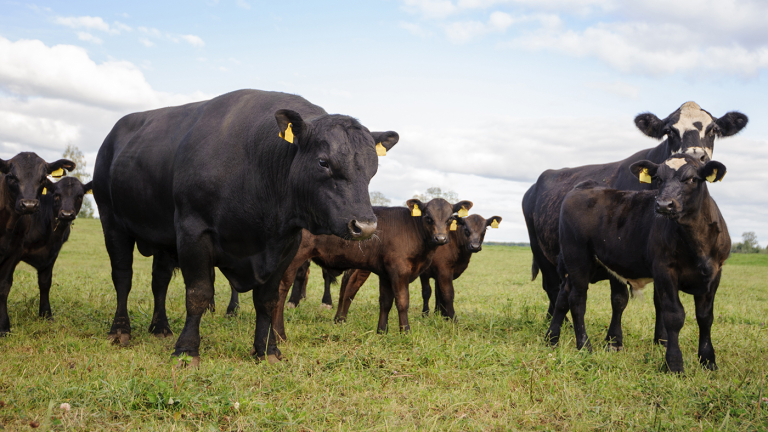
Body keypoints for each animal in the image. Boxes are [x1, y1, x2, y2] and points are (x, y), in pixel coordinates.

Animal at [93, 88, 400, 364]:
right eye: (323, 162)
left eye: (372, 169)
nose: (365, 226)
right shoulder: (193, 231)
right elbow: (198, 293)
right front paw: (187, 351)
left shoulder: (285, 245)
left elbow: (268, 300)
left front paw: (267, 350)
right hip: (112, 223)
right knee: (123, 277)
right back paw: (120, 330)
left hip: (163, 241)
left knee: (160, 280)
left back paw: (160, 327)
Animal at [270, 198, 474, 338]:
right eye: (428, 217)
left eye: (450, 218)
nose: (441, 238)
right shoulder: (399, 271)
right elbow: (402, 302)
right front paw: (405, 331)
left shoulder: (385, 273)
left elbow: (385, 302)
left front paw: (381, 331)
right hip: (292, 260)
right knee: (280, 291)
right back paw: (279, 334)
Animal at [340, 213, 500, 318]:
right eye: (466, 229)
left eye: (484, 230)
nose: (475, 246)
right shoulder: (441, 271)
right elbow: (441, 293)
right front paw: (442, 316)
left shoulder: (435, 273)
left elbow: (438, 293)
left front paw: (440, 314)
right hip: (362, 268)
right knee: (352, 285)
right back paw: (342, 318)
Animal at [520, 101, 744, 344]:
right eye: (669, 131)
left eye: (714, 130)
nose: (698, 157)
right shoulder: (618, 253)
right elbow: (619, 299)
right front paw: (614, 340)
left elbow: (660, 300)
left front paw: (661, 339)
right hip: (542, 251)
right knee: (552, 287)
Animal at [544, 155, 732, 374]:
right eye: (658, 179)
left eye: (693, 179)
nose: (664, 205)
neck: (697, 243)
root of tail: (584, 186)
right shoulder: (665, 271)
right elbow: (674, 315)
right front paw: (674, 364)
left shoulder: (714, 274)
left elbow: (705, 317)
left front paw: (708, 361)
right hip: (577, 258)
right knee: (577, 300)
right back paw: (584, 345)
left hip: (583, 265)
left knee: (563, 296)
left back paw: (552, 339)